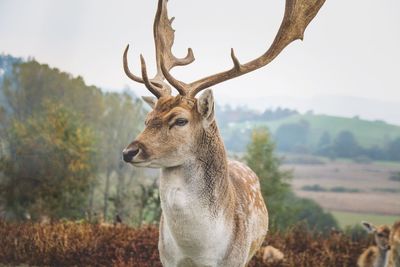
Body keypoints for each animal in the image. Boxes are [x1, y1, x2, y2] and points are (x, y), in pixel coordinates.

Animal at [122, 0, 324, 266]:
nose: (129, 151)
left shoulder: (235, 259)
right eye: (147, 119)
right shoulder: (166, 258)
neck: (197, 252)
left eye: (180, 120)